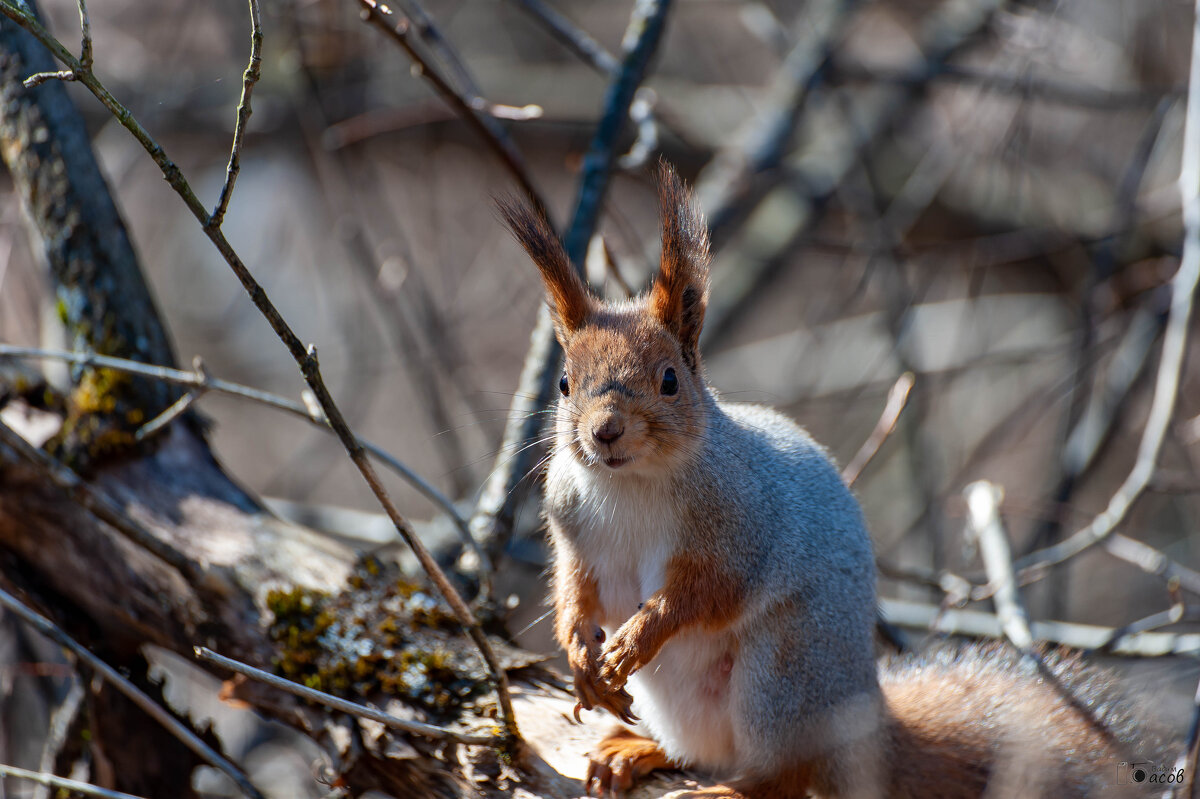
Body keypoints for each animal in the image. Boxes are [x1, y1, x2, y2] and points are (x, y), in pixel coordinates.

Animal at [499, 163, 1152, 796]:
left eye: (669, 381)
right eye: (564, 383)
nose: (606, 431)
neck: (629, 483)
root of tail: (865, 728)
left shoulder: (741, 528)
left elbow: (703, 594)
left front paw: (633, 640)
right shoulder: (572, 529)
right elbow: (575, 589)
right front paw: (579, 654)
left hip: (782, 678)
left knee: (783, 775)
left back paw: (728, 789)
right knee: (703, 752)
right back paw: (635, 751)